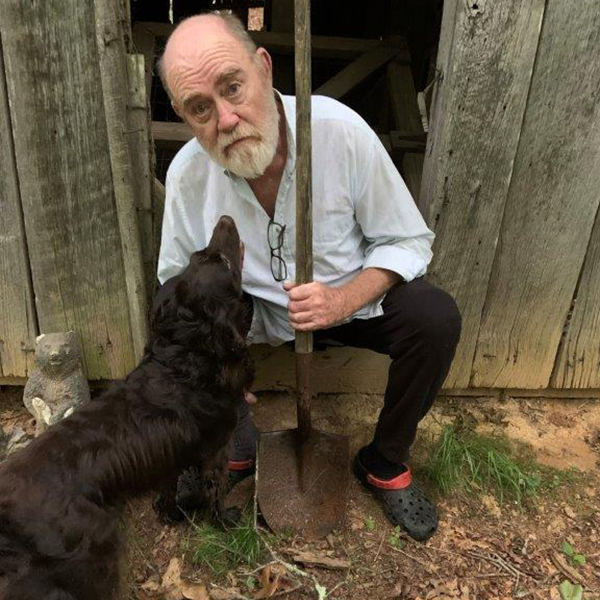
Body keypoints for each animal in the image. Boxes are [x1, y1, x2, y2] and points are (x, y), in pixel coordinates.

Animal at [0, 213, 251, 596]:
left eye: (201, 255)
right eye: (222, 261)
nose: (224, 218)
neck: (182, 362)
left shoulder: (170, 458)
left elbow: (168, 489)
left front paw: (171, 515)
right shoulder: (216, 450)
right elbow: (215, 492)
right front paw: (225, 522)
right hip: (93, 559)